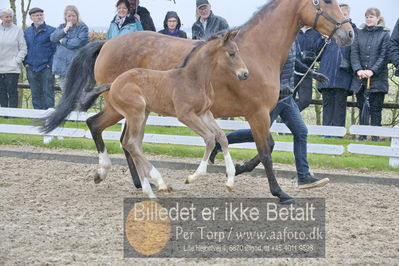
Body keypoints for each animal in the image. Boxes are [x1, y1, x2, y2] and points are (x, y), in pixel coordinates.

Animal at [79, 30, 248, 197]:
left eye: (238, 51)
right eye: (231, 53)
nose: (245, 74)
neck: (194, 79)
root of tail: (114, 83)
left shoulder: (204, 113)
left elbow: (221, 136)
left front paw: (230, 181)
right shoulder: (185, 115)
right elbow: (210, 138)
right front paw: (192, 177)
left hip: (142, 113)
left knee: (133, 143)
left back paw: (148, 189)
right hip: (135, 113)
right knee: (129, 143)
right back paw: (158, 181)